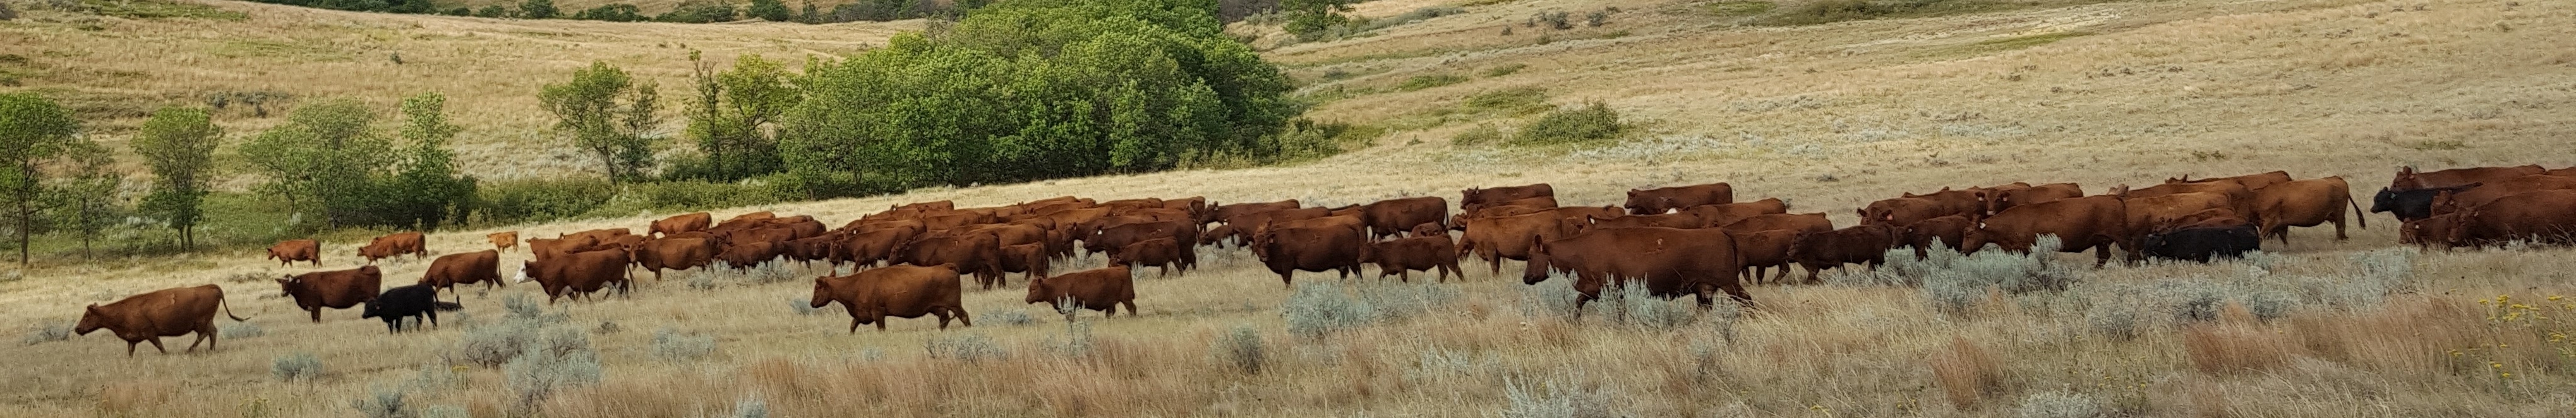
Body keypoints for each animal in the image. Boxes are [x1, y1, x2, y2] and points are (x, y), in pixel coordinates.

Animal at [360, 284, 460, 333]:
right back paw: (418, 330)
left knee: (433, 317)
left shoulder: (399, 317)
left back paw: (434, 328)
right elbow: (391, 328)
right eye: (365, 307)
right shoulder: (390, 320)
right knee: (420, 319)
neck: (384, 303)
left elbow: (397, 326)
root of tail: (429, 288)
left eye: (370, 307)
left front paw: (399, 333)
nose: (364, 315)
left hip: (429, 308)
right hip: (418, 312)